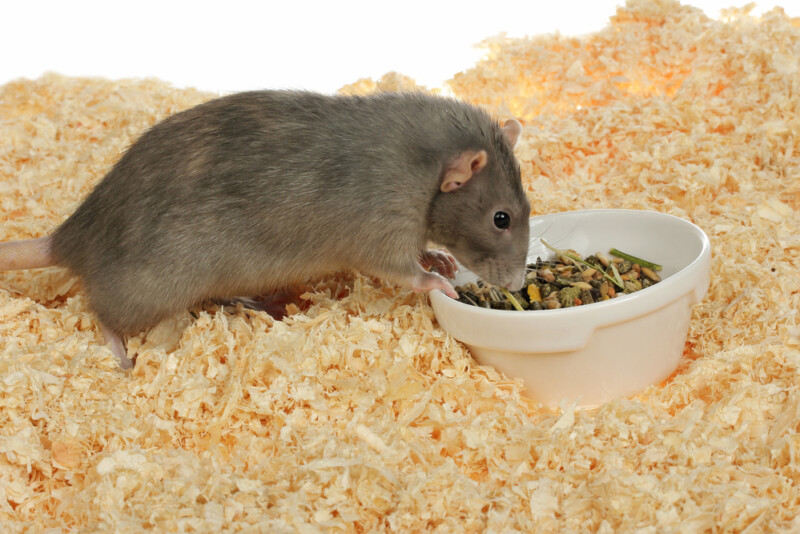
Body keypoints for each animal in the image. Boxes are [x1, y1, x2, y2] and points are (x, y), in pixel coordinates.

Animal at [0, 90, 530, 369]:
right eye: (501, 218)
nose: (517, 283)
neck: (426, 157)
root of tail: (75, 236)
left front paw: (437, 256)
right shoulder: (383, 219)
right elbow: (395, 266)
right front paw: (434, 278)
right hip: (148, 290)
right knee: (106, 312)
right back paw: (118, 347)